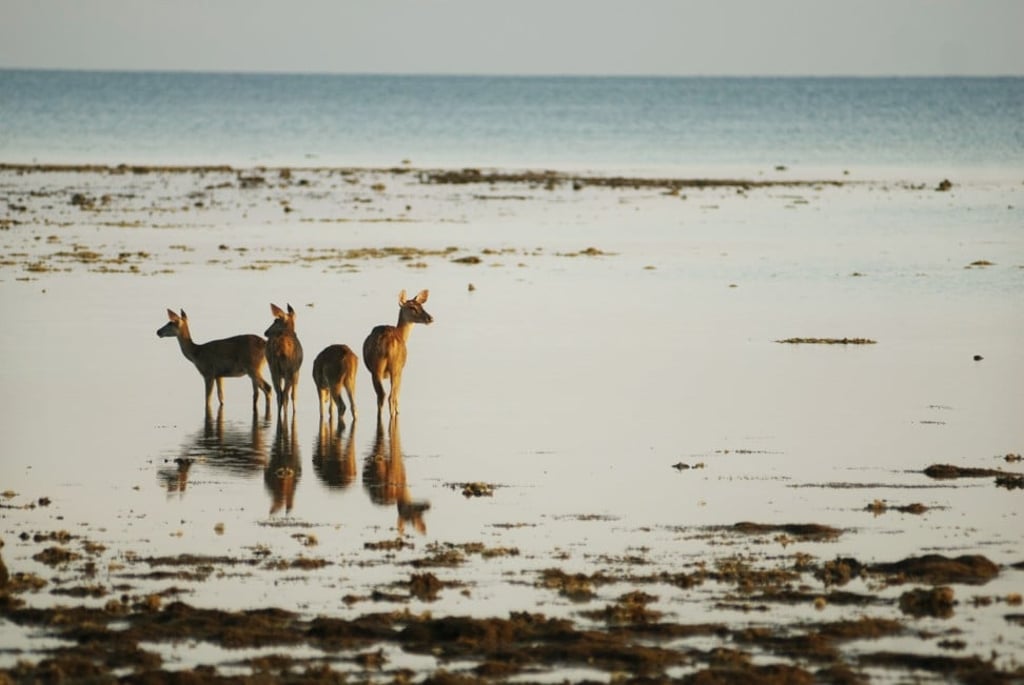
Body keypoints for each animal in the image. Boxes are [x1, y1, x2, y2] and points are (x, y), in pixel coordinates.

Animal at [362, 289, 433, 418]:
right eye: (412, 307)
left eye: (422, 306)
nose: (430, 318)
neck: (402, 335)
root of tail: (386, 341)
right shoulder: (401, 369)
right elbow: (398, 393)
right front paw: (398, 411)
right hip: (395, 367)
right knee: (391, 396)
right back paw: (393, 415)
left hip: (375, 368)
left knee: (381, 395)